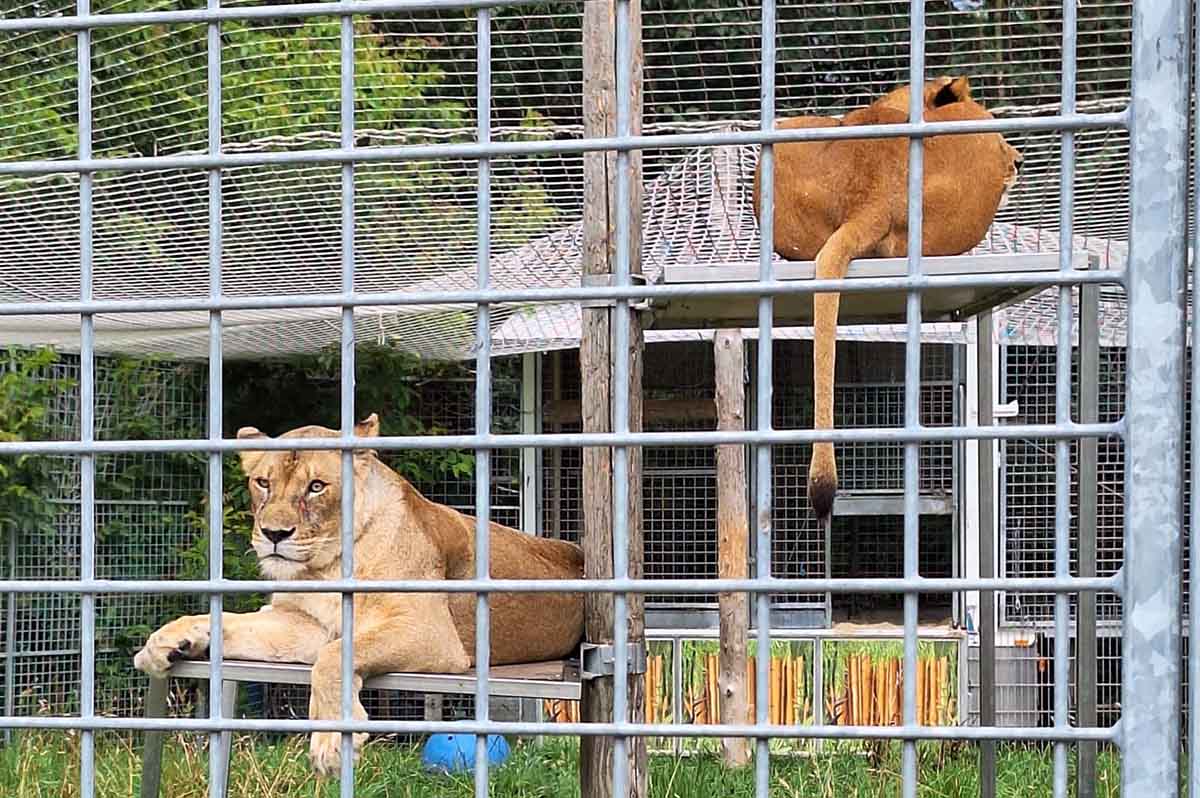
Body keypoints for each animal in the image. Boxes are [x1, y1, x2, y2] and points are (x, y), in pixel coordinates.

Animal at [136, 412, 585, 772]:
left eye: (317, 486)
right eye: (262, 482)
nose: (274, 534)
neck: (325, 567)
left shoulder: (432, 633)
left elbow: (333, 657)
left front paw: (332, 744)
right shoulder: (302, 622)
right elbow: (231, 621)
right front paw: (166, 641)